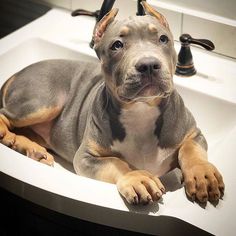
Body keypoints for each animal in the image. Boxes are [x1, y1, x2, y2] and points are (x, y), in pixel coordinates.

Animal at [0, 1, 224, 205]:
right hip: (43, 101)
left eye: (163, 39)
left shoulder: (193, 133)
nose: (149, 65)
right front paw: (136, 177)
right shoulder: (85, 157)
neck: (141, 110)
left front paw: (202, 174)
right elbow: (114, 162)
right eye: (117, 45)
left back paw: (31, 148)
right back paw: (9, 136)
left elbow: (190, 149)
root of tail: (18, 72)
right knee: (5, 115)